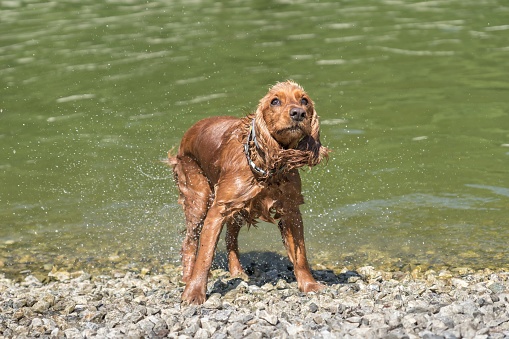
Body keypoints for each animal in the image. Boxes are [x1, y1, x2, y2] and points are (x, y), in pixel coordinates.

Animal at [168, 80, 330, 306]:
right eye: (275, 101)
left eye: (304, 100)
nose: (298, 113)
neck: (268, 166)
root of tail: (189, 132)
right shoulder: (217, 210)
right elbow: (205, 255)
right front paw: (194, 293)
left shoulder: (291, 210)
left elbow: (301, 255)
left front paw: (309, 285)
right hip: (199, 199)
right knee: (190, 243)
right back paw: (187, 277)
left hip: (237, 210)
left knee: (231, 238)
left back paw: (237, 273)